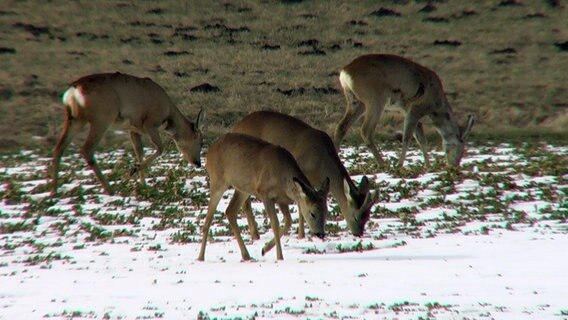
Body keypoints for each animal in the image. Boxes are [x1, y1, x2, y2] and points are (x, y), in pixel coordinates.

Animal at [51, 72, 205, 195]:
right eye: (200, 141)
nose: (197, 163)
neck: (168, 113)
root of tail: (73, 91)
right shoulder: (150, 123)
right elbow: (160, 148)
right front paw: (133, 170)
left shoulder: (133, 129)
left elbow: (139, 151)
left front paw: (142, 184)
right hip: (101, 119)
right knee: (86, 149)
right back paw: (110, 189)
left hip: (75, 119)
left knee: (59, 147)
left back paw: (54, 191)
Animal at [197, 132, 328, 260]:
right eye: (312, 213)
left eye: (326, 211)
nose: (320, 234)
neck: (283, 178)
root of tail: (209, 151)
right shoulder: (264, 193)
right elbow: (275, 223)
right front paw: (279, 257)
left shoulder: (282, 199)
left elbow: (288, 222)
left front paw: (264, 250)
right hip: (217, 180)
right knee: (208, 219)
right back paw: (200, 257)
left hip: (244, 188)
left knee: (230, 211)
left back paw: (246, 255)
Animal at [233, 110, 380, 238]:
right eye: (355, 216)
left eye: (367, 217)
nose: (358, 234)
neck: (321, 164)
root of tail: (236, 126)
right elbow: (301, 205)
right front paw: (301, 235)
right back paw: (255, 235)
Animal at [332, 54, 474, 170]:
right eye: (461, 147)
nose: (454, 166)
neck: (436, 105)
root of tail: (345, 72)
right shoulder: (416, 109)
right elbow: (407, 137)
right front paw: (400, 165)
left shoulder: (407, 111)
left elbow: (421, 139)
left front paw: (428, 166)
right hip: (374, 99)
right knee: (365, 130)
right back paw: (383, 164)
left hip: (356, 101)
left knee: (341, 127)